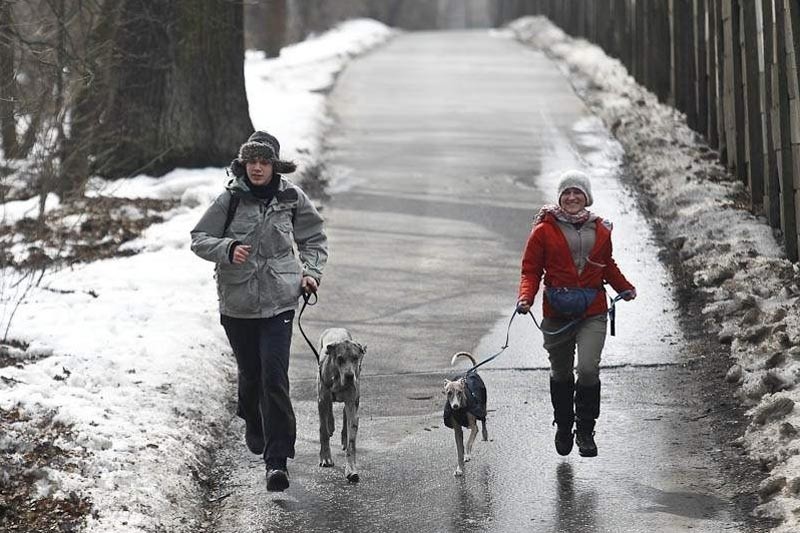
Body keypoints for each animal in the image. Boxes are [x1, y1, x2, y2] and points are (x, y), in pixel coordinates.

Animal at [318, 326, 368, 480]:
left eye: (355, 358)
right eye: (340, 359)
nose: (350, 376)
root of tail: (335, 328)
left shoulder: (352, 403)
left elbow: (352, 439)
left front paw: (351, 469)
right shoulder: (321, 400)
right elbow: (323, 431)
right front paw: (326, 458)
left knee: (345, 414)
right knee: (328, 410)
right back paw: (330, 425)